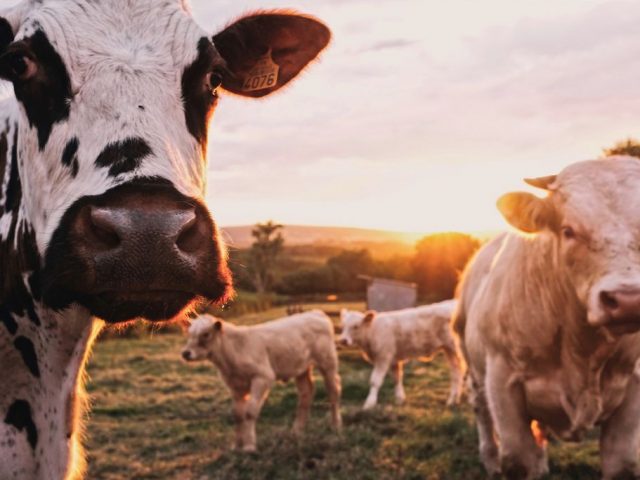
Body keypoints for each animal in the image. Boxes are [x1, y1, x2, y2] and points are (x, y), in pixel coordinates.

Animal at [181, 311, 342, 452]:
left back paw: (335, 425)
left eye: (206, 334)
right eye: (189, 333)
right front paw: (236, 445)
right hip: (301, 368)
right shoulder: (235, 386)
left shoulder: (263, 377)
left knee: (333, 390)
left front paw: (249, 446)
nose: (186, 353)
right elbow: (238, 414)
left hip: (328, 362)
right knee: (306, 393)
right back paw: (297, 430)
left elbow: (250, 412)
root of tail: (315, 313)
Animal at [454, 157, 640, 479]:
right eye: (568, 230)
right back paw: (489, 459)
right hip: (474, 366)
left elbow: (622, 464)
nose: (628, 300)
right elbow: (517, 459)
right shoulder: (502, 382)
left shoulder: (634, 387)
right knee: (481, 410)